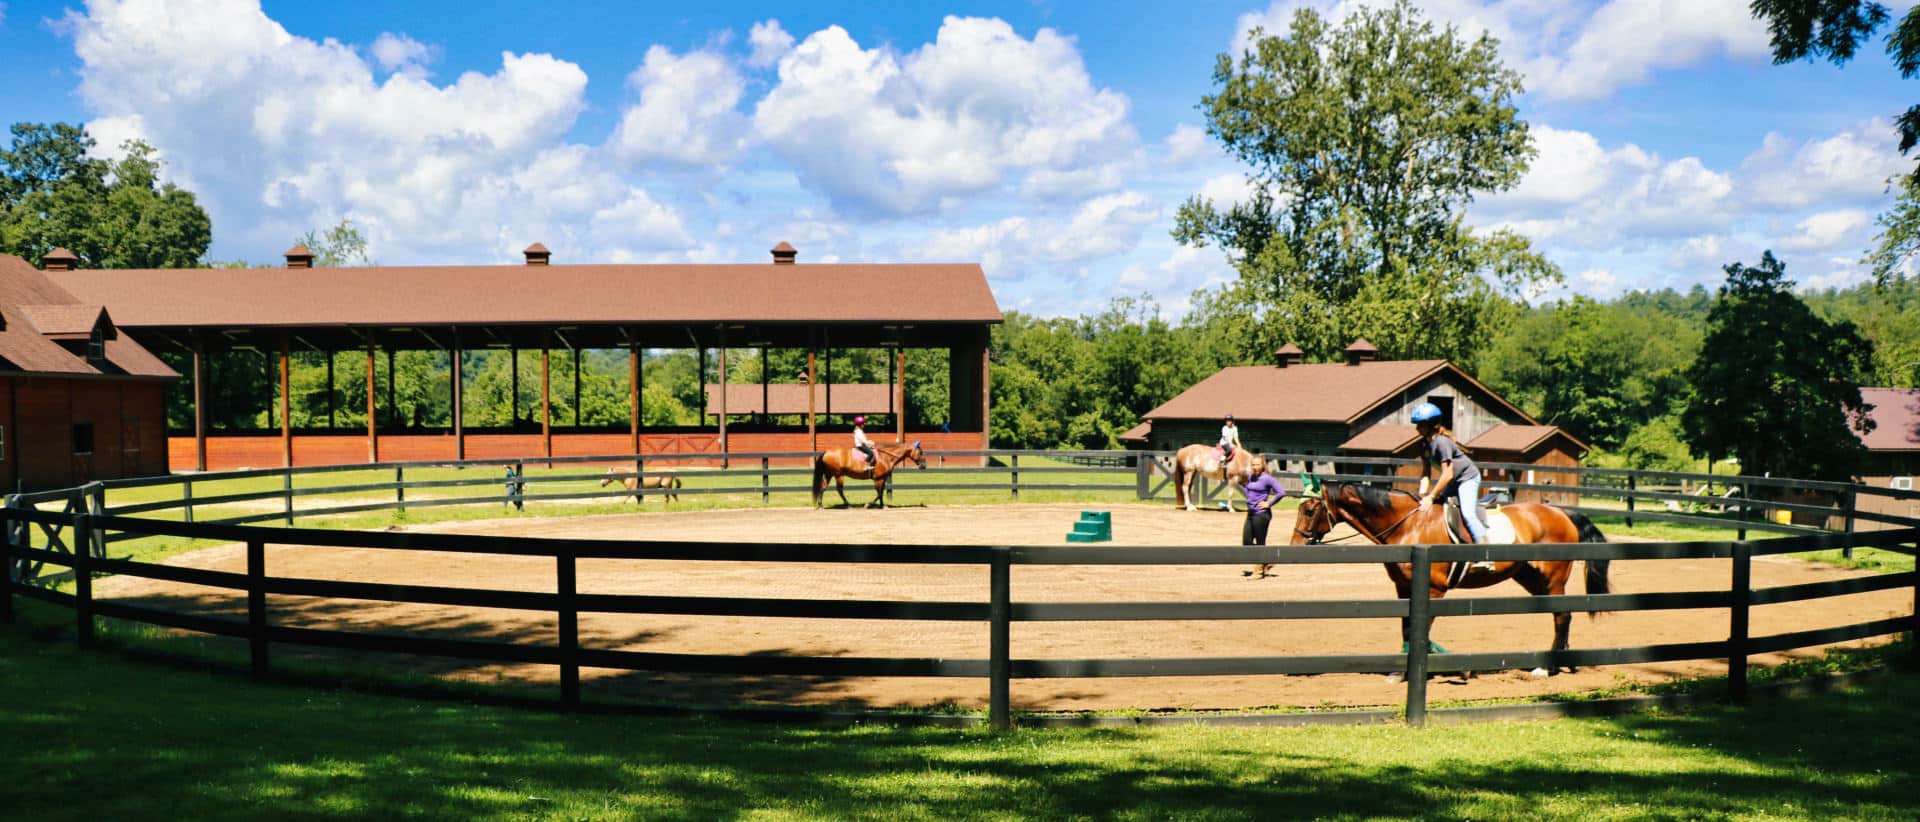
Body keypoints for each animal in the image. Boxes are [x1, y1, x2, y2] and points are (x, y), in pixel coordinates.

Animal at [1282, 478, 1612, 676]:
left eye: (1310, 510)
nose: (1294, 545)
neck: (1409, 524)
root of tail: (1562, 513)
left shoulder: (1433, 589)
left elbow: (1420, 627)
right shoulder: (1404, 588)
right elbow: (1407, 627)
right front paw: (1404, 669)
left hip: (1553, 579)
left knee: (1562, 616)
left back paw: (1548, 668)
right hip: (1532, 580)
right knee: (1562, 615)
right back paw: (1563, 661)